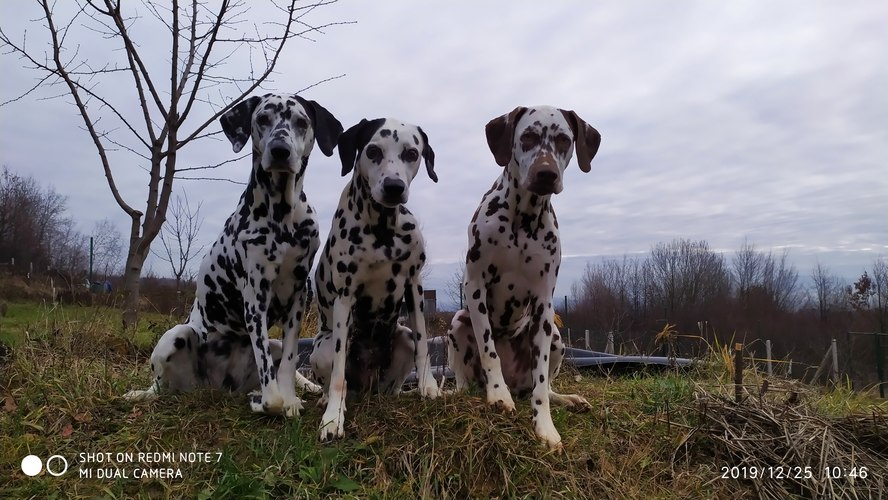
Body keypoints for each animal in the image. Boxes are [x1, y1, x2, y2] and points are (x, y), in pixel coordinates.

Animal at [125, 91, 344, 418]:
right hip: (177, 335)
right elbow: (270, 390)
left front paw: (291, 398)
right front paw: (271, 401)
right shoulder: (255, 300)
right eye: (263, 118)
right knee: (160, 387)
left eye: (301, 122)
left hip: (273, 342)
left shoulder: (297, 299)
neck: (282, 219)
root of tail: (216, 385)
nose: (280, 151)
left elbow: (289, 362)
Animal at [312, 118, 444, 442]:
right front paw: (332, 418)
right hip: (323, 346)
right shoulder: (344, 298)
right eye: (372, 151)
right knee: (334, 379)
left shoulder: (415, 286)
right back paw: (326, 399)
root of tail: (367, 386)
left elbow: (424, 343)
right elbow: (338, 376)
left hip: (401, 339)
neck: (383, 229)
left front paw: (428, 386)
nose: (394, 187)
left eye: (412, 153)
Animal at [448, 105, 600, 450]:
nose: (547, 174)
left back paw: (567, 399)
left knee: (541, 386)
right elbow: (489, 351)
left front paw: (545, 427)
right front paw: (498, 396)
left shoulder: (544, 304)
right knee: (464, 379)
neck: (523, 220)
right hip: (458, 322)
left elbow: (541, 385)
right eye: (528, 136)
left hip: (556, 338)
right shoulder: (475, 287)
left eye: (563, 140)